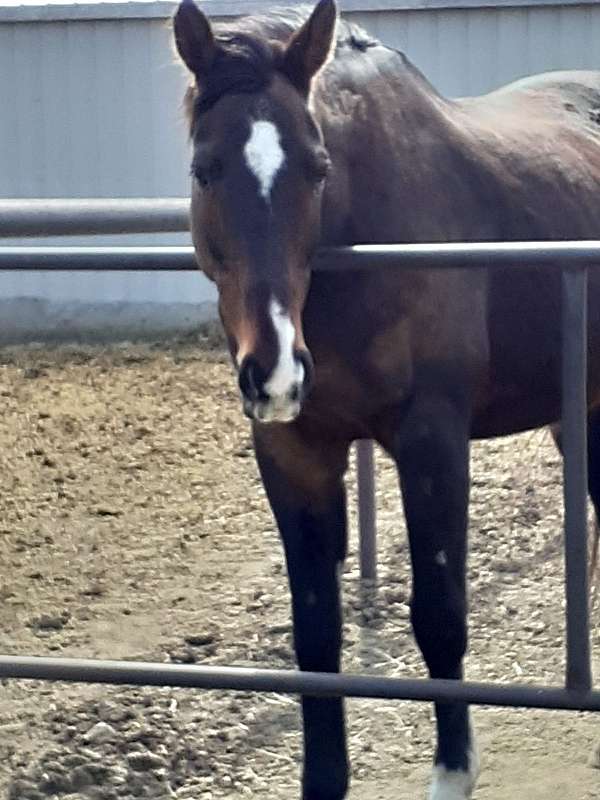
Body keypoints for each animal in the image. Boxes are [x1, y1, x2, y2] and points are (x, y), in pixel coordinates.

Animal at [172, 1, 600, 797]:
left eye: (317, 167)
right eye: (203, 169)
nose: (275, 369)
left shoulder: (433, 440)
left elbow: (440, 616)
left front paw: (453, 772)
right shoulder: (295, 452)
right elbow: (315, 637)